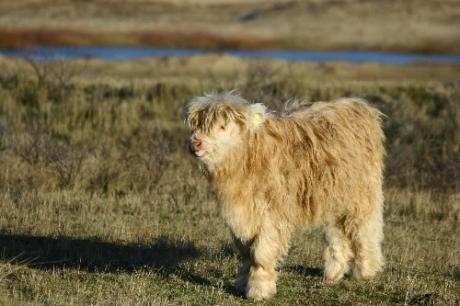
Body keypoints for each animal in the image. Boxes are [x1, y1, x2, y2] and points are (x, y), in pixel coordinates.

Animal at [184, 92, 384, 300]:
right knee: (336, 234)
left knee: (365, 230)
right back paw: (333, 273)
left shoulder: (272, 213)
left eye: (222, 126)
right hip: (333, 197)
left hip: (363, 194)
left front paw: (259, 290)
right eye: (196, 125)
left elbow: (260, 253)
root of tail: (357, 104)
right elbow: (246, 252)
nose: (195, 143)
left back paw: (366, 271)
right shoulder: (241, 218)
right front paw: (241, 283)